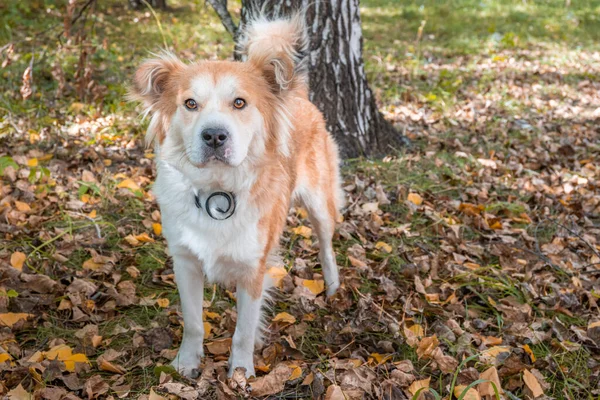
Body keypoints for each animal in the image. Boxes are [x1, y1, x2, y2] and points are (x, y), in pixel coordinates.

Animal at [131, 14, 342, 378]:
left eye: (239, 103)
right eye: (190, 104)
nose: (214, 135)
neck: (217, 190)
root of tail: (298, 95)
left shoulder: (253, 271)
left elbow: (243, 331)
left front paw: (241, 374)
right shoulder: (185, 262)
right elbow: (193, 323)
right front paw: (187, 364)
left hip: (320, 204)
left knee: (327, 247)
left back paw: (332, 288)